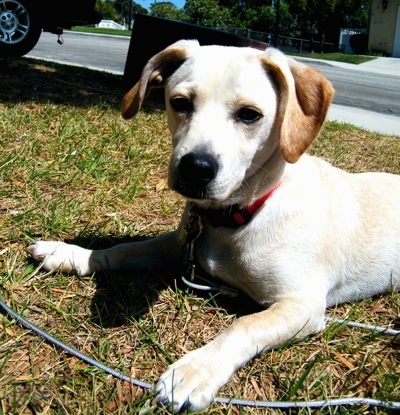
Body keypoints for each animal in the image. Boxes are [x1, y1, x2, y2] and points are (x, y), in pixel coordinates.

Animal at [28, 41, 400, 412]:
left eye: (249, 114)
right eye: (180, 102)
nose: (196, 168)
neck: (239, 215)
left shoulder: (303, 304)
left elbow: (244, 325)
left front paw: (194, 371)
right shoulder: (179, 244)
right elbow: (125, 249)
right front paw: (72, 254)